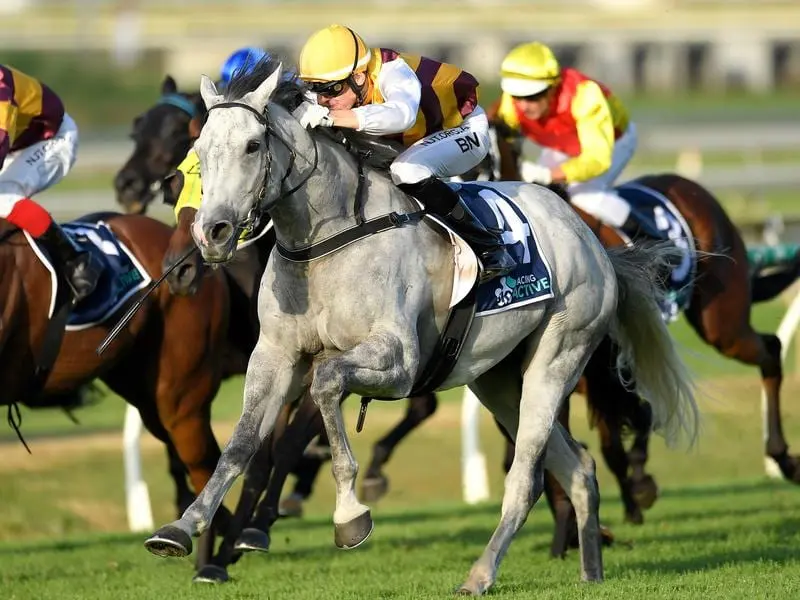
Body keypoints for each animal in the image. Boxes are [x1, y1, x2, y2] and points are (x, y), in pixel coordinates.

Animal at [145, 59, 700, 596]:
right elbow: (240, 444)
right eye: (198, 152)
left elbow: (325, 384)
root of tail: (588, 236)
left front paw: (349, 513)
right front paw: (181, 529)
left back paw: (480, 575)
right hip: (498, 380)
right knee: (577, 468)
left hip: (557, 358)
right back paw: (590, 570)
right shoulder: (274, 356)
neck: (326, 239)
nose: (211, 233)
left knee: (527, 477)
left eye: (253, 145)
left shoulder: (398, 362)